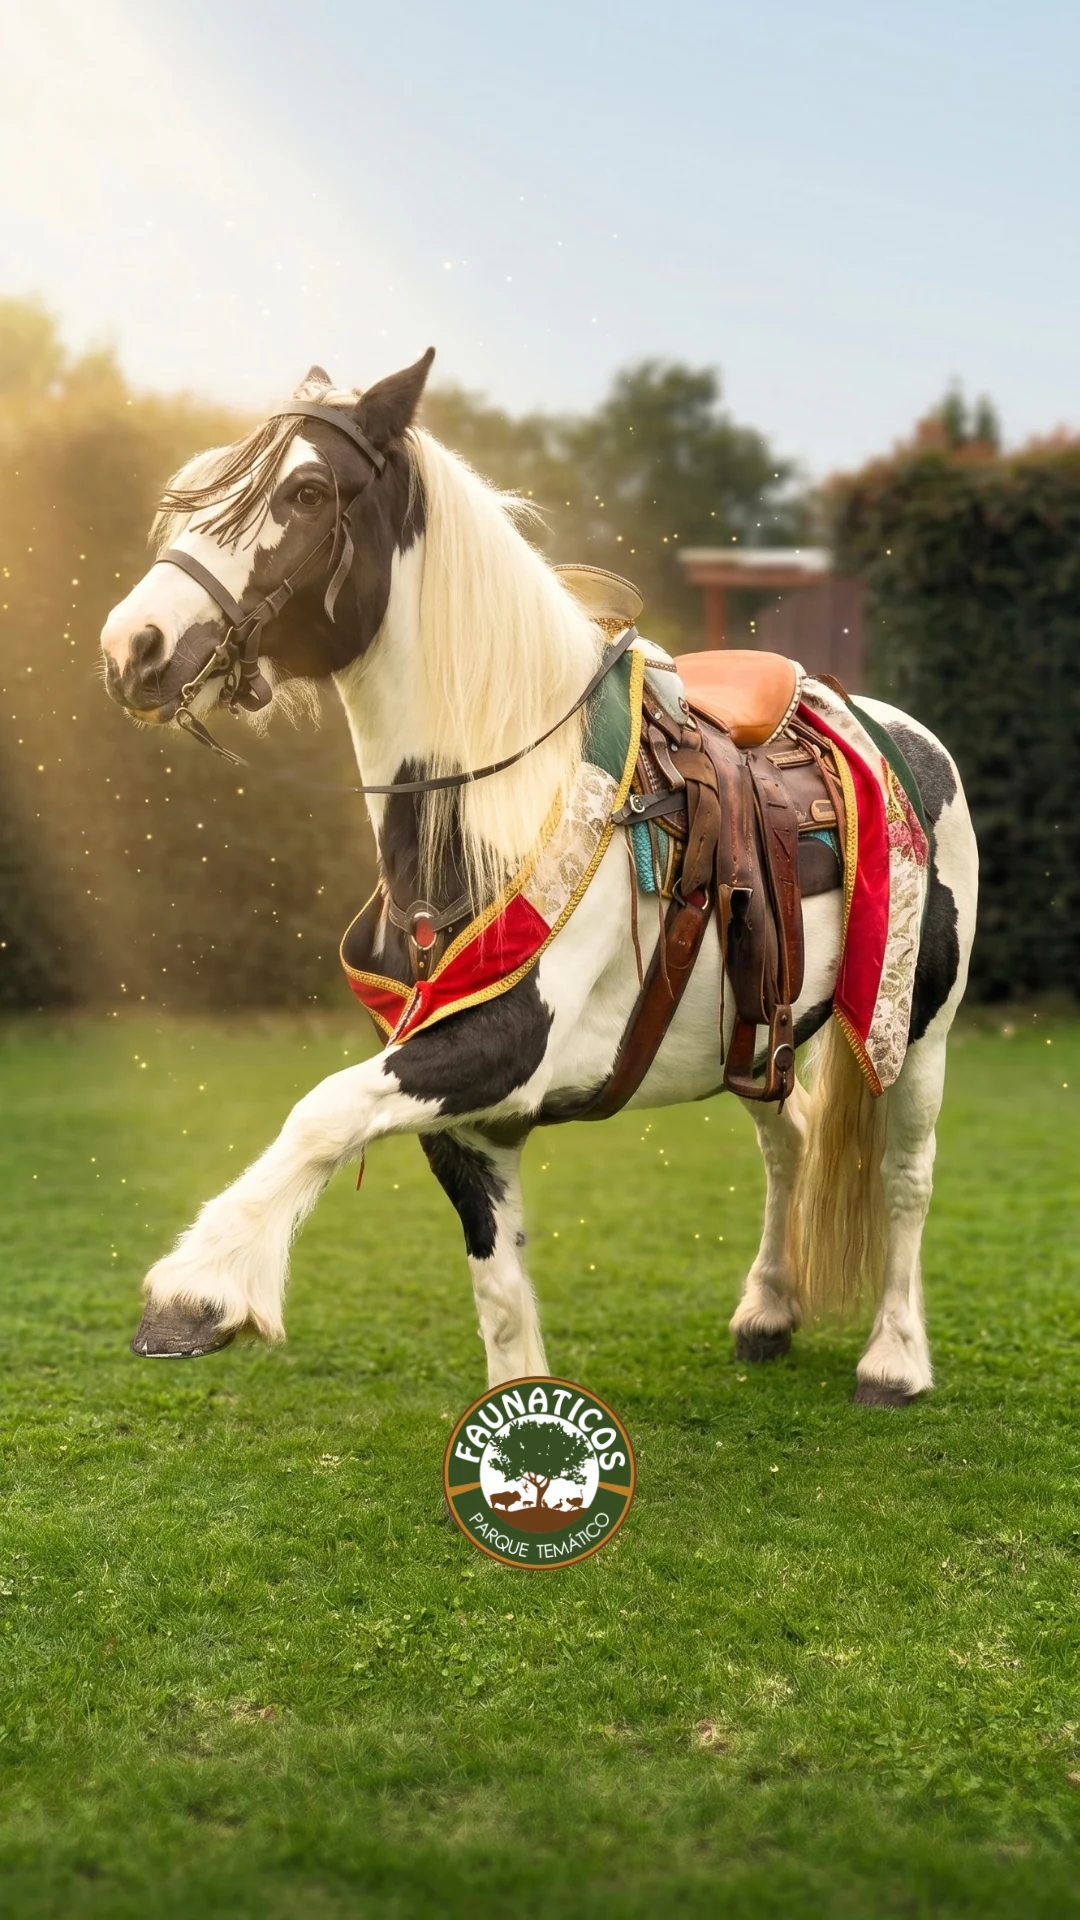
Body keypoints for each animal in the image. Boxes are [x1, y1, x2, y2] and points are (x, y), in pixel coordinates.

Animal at [100, 351, 978, 1408]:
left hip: (916, 1031)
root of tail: (901, 733)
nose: (133, 646)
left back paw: (895, 1357)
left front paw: (198, 1290)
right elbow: (500, 1288)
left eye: (304, 491)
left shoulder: (502, 1046)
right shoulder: (469, 1117)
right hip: (759, 1033)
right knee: (792, 1145)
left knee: (907, 1175)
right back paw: (768, 1310)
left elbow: (323, 1110)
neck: (491, 812)